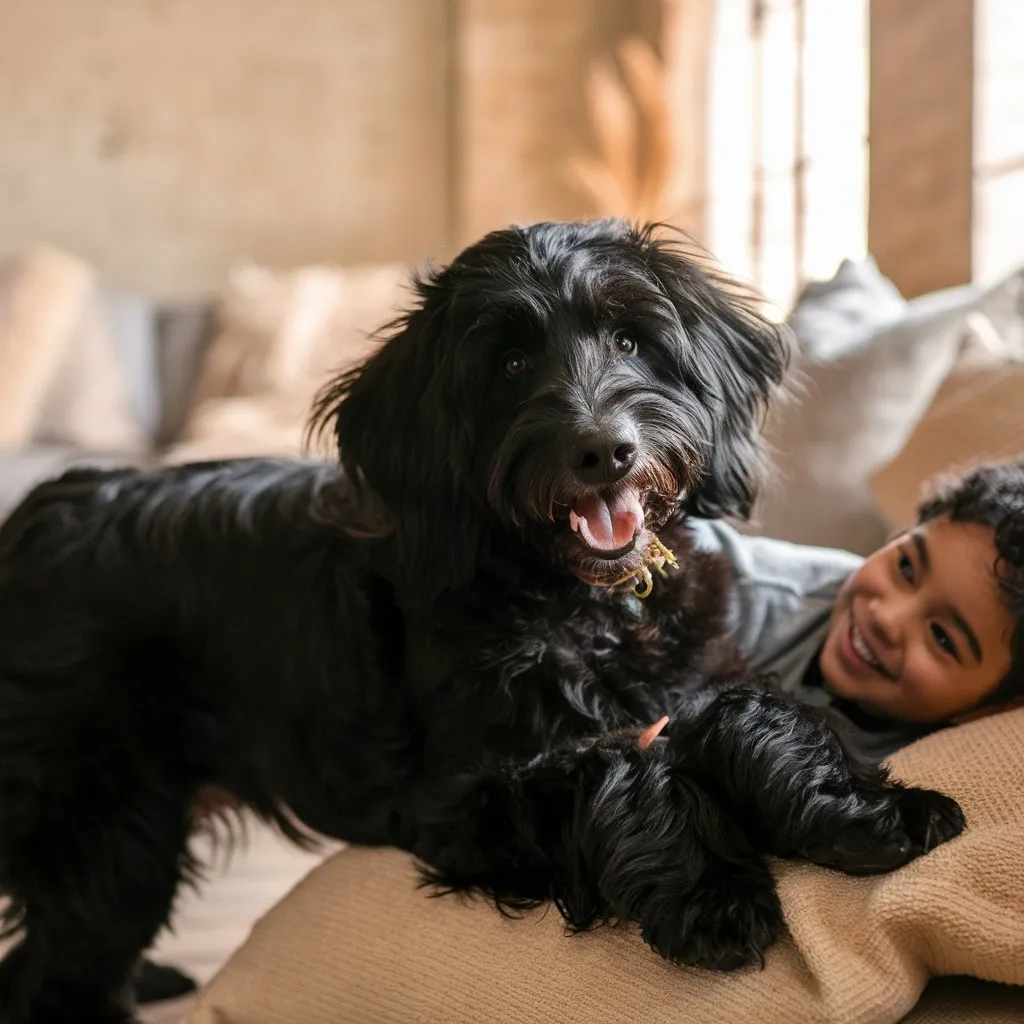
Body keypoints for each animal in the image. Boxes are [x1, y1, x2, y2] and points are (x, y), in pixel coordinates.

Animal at [0, 220, 962, 1019]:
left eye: (630, 338)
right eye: (507, 364)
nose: (603, 450)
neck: (582, 602)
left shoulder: (707, 668)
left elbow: (749, 711)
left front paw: (867, 813)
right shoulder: (458, 801)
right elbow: (612, 765)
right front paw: (708, 891)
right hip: (105, 830)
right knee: (55, 976)